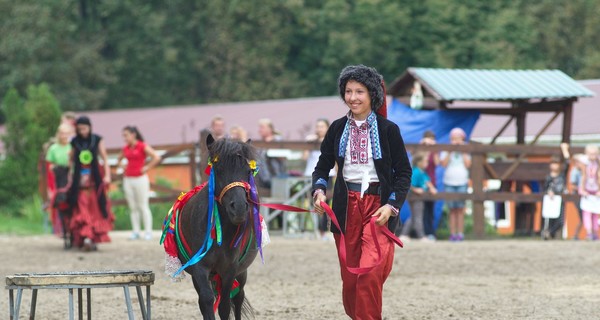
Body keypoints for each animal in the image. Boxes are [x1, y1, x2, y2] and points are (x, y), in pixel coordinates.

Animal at [176, 136, 258, 320]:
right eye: (219, 169)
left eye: (248, 172)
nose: (239, 208)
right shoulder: (199, 267)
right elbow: (206, 300)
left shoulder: (230, 269)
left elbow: (225, 304)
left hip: (241, 273)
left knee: (238, 297)